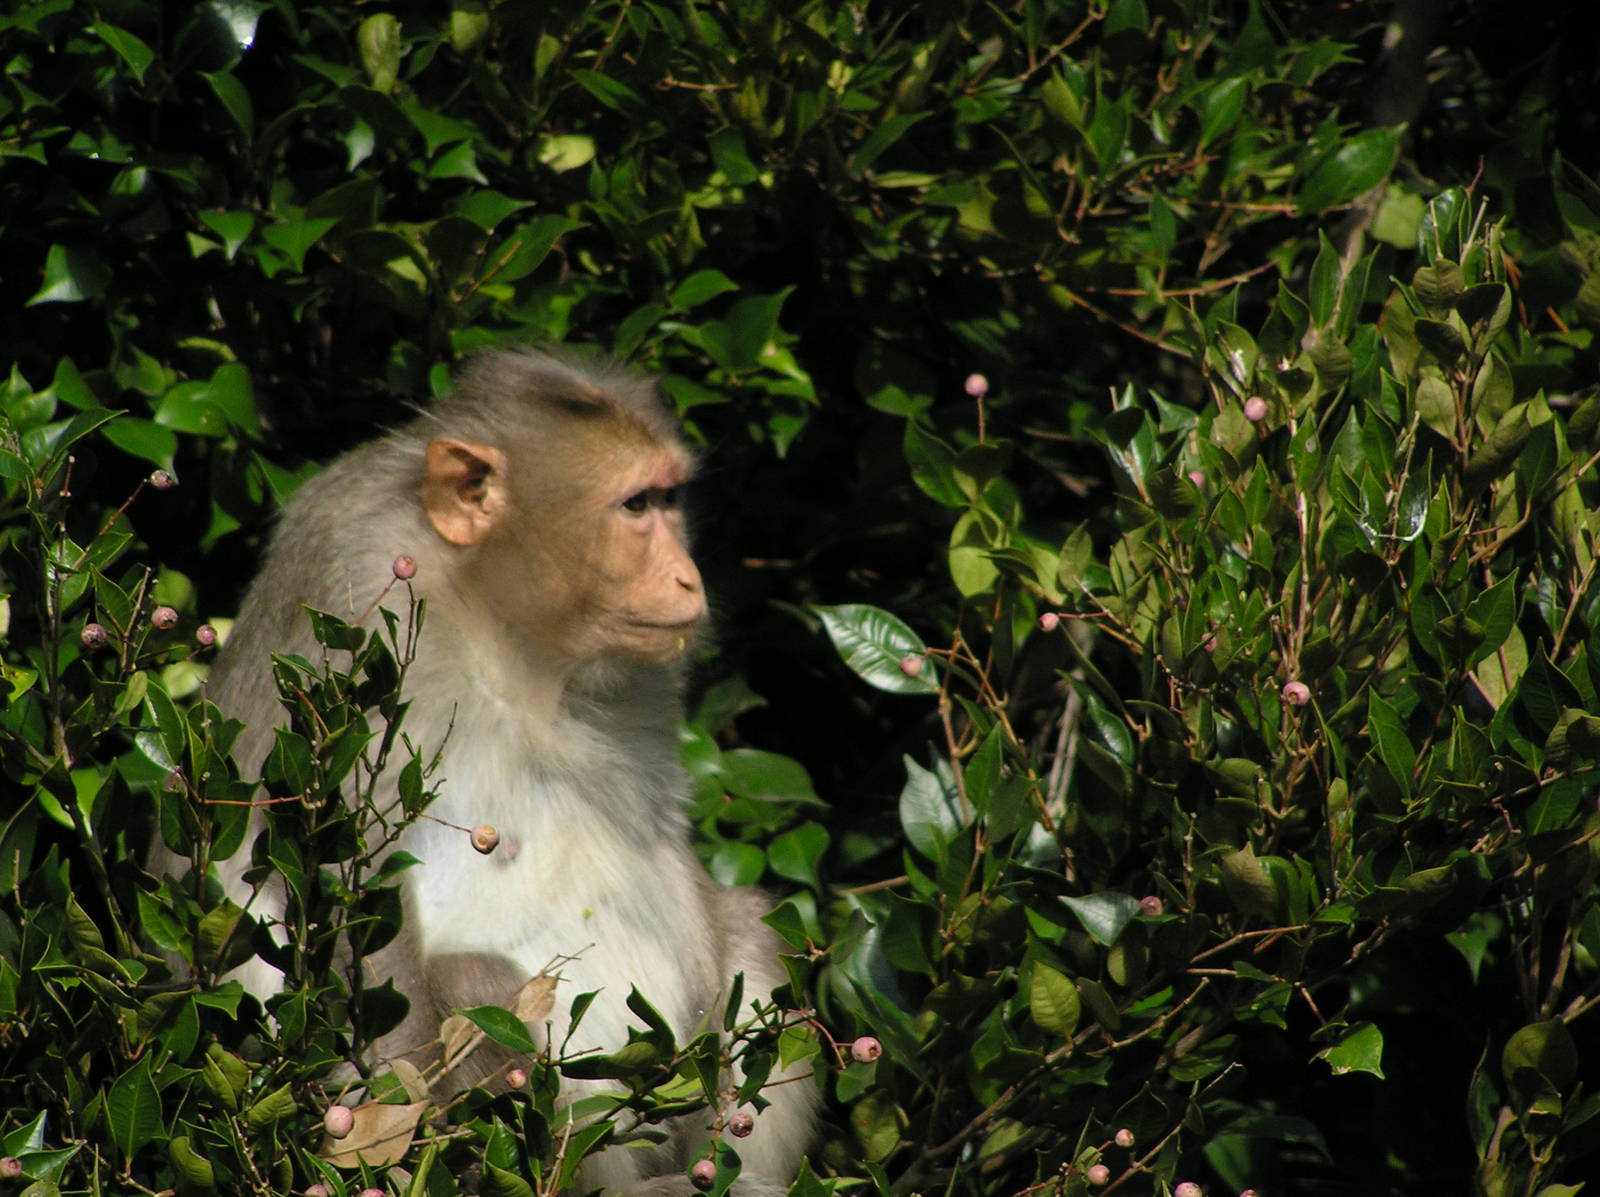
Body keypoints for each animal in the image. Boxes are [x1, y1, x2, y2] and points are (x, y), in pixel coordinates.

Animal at [164, 349, 817, 1194]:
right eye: (636, 504)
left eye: (669, 499)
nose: (688, 578)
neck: (499, 620)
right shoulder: (355, 586)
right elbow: (346, 883)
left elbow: (663, 846)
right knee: (475, 983)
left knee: (748, 925)